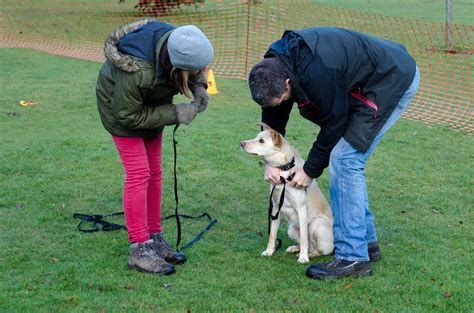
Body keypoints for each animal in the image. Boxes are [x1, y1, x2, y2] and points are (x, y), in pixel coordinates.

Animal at [241, 123, 334, 262]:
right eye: (257, 137)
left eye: (261, 141)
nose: (241, 143)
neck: (283, 171)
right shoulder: (275, 208)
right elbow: (272, 234)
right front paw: (269, 251)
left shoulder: (302, 208)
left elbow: (304, 237)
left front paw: (303, 258)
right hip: (291, 230)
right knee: (308, 245)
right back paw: (295, 249)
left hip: (317, 224)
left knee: (319, 250)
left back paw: (308, 254)